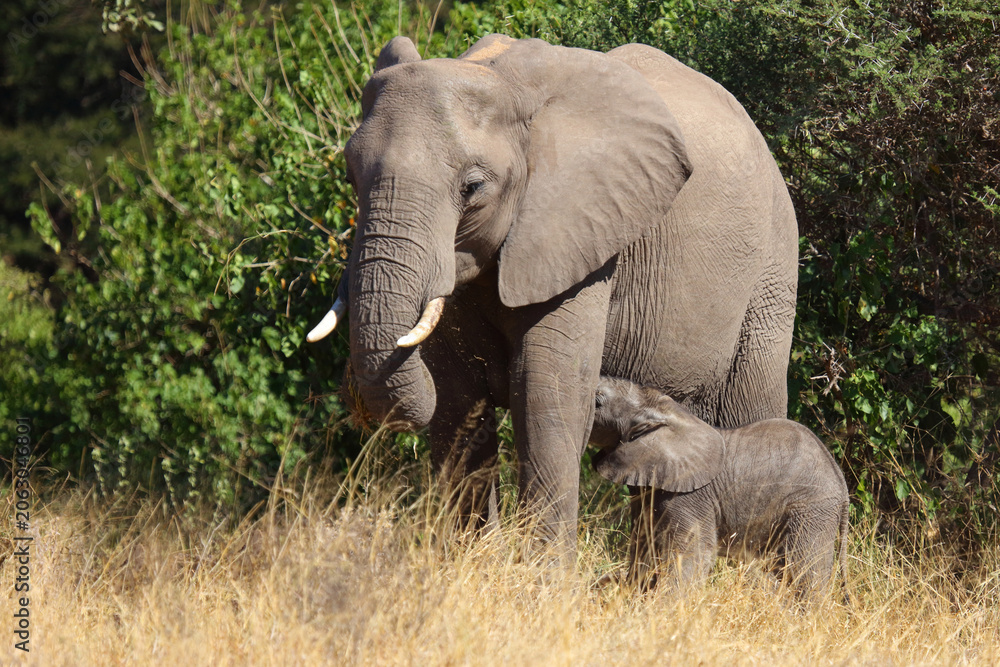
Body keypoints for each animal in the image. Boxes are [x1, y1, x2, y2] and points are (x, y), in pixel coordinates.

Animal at [307, 34, 799, 564]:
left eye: (472, 187)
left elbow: (547, 395)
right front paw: (468, 561)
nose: (350, 393)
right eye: (351, 176)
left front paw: (542, 577)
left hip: (772, 272)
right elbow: (456, 401)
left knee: (750, 409)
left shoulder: (581, 234)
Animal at [591, 376, 850, 600]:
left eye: (598, 401)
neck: (667, 411)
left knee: (805, 570)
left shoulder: (690, 496)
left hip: (812, 508)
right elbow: (644, 547)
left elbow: (695, 552)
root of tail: (841, 482)